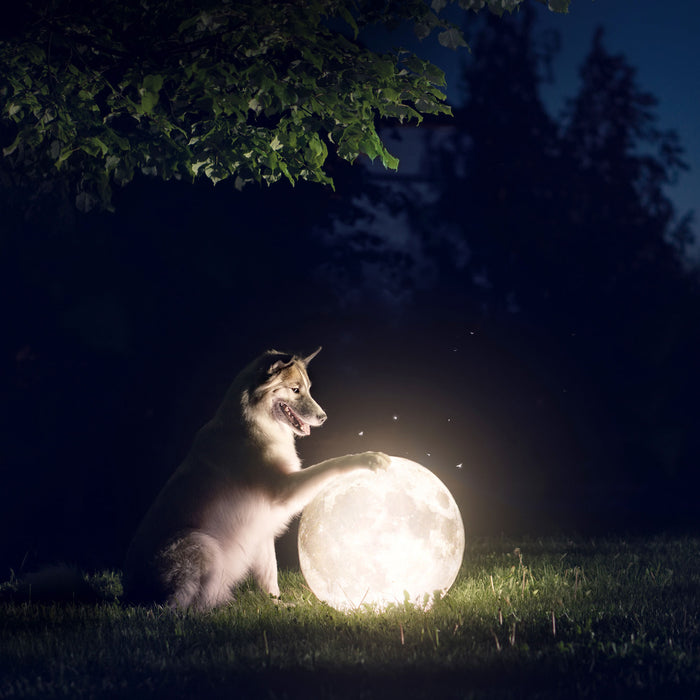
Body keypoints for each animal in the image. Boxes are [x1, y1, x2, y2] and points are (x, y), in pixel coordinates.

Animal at [125, 348, 388, 608]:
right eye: (295, 390)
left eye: (307, 388)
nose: (323, 417)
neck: (252, 423)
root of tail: (132, 594)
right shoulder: (285, 489)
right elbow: (330, 465)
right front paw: (367, 459)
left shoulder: (262, 531)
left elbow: (269, 575)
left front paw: (277, 604)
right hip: (200, 544)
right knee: (181, 608)